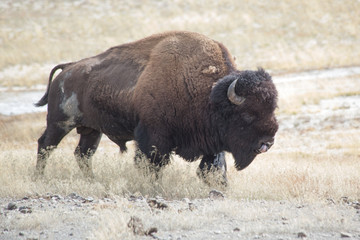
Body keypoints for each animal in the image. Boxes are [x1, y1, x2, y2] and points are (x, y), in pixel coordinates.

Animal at [35, 30, 278, 184]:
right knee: (46, 146)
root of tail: (68, 69)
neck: (208, 94)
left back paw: (92, 181)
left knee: (83, 154)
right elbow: (152, 164)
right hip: (60, 122)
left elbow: (213, 167)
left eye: (273, 109)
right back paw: (39, 178)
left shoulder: (211, 142)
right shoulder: (153, 137)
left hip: (92, 130)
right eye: (248, 114)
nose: (267, 143)